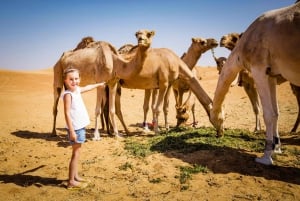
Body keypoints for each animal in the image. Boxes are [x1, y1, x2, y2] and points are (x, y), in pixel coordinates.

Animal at [210, 1, 300, 165]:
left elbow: (268, 113)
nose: (219, 133)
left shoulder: (259, 70)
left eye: (215, 118)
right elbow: (276, 112)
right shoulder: (271, 75)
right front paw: (277, 148)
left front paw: (266, 156)